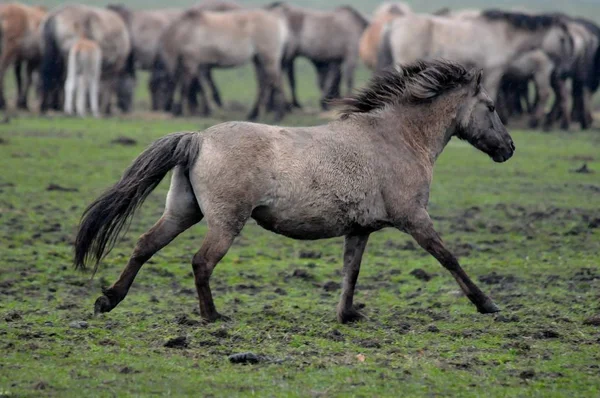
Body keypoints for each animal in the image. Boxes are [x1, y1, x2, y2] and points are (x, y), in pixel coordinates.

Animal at [75, 59, 516, 324]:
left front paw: (346, 316)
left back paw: (108, 300)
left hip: (183, 211)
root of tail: (198, 139)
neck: (397, 138)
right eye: (492, 106)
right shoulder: (415, 218)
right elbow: (449, 258)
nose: (509, 148)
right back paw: (213, 317)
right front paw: (488, 303)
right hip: (225, 222)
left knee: (144, 246)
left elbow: (351, 271)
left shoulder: (360, 229)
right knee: (201, 262)